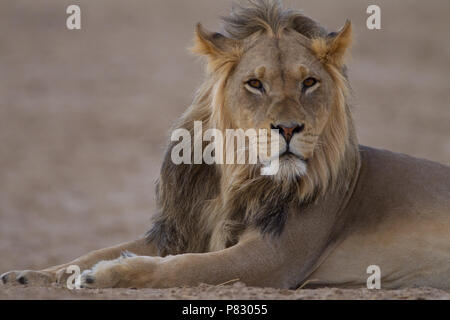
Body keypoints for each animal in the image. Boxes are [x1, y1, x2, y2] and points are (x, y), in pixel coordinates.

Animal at [0, 0, 450, 290]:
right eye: (255, 83)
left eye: (309, 82)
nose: (289, 128)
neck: (235, 177)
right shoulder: (181, 230)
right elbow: (95, 250)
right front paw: (32, 274)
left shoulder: (273, 259)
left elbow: (182, 269)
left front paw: (109, 274)